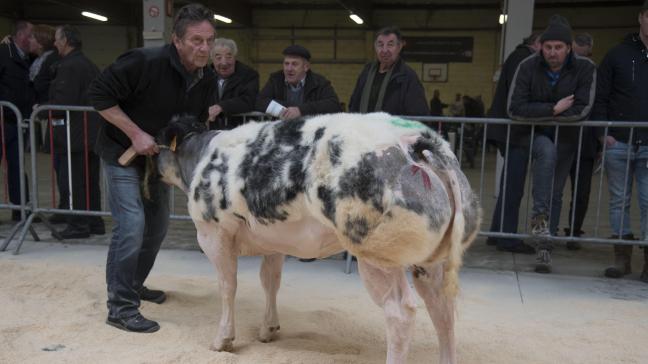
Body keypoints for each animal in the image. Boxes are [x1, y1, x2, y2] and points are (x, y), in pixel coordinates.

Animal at [157, 113, 480, 364]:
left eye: (160, 144)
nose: (153, 160)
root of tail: (414, 139)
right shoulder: (274, 239)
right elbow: (270, 281)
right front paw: (268, 329)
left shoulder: (213, 232)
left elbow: (228, 286)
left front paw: (223, 340)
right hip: (432, 260)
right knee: (442, 309)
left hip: (377, 254)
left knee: (400, 313)